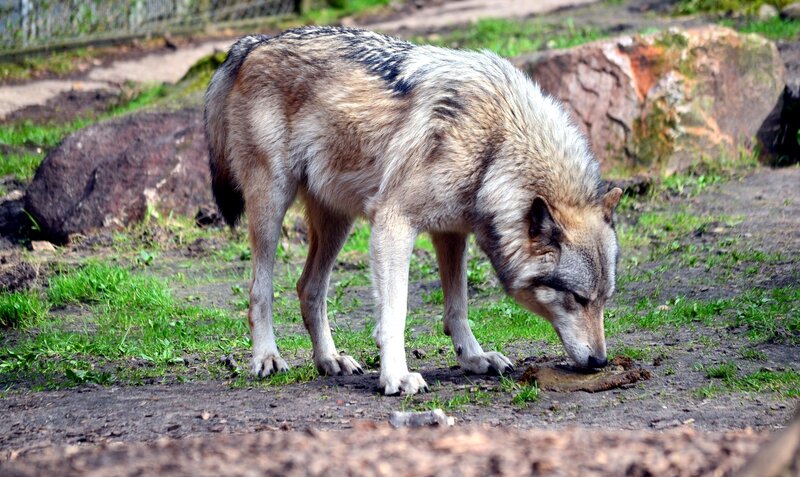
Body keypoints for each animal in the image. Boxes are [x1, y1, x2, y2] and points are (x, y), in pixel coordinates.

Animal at [204, 26, 623, 395]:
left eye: (604, 300)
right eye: (578, 299)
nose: (600, 362)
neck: (494, 147)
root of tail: (255, 42)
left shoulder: (451, 232)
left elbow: (457, 308)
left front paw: (474, 358)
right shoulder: (392, 224)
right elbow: (395, 314)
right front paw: (397, 377)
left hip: (338, 221)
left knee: (308, 288)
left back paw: (330, 360)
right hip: (272, 205)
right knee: (260, 292)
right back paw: (267, 358)